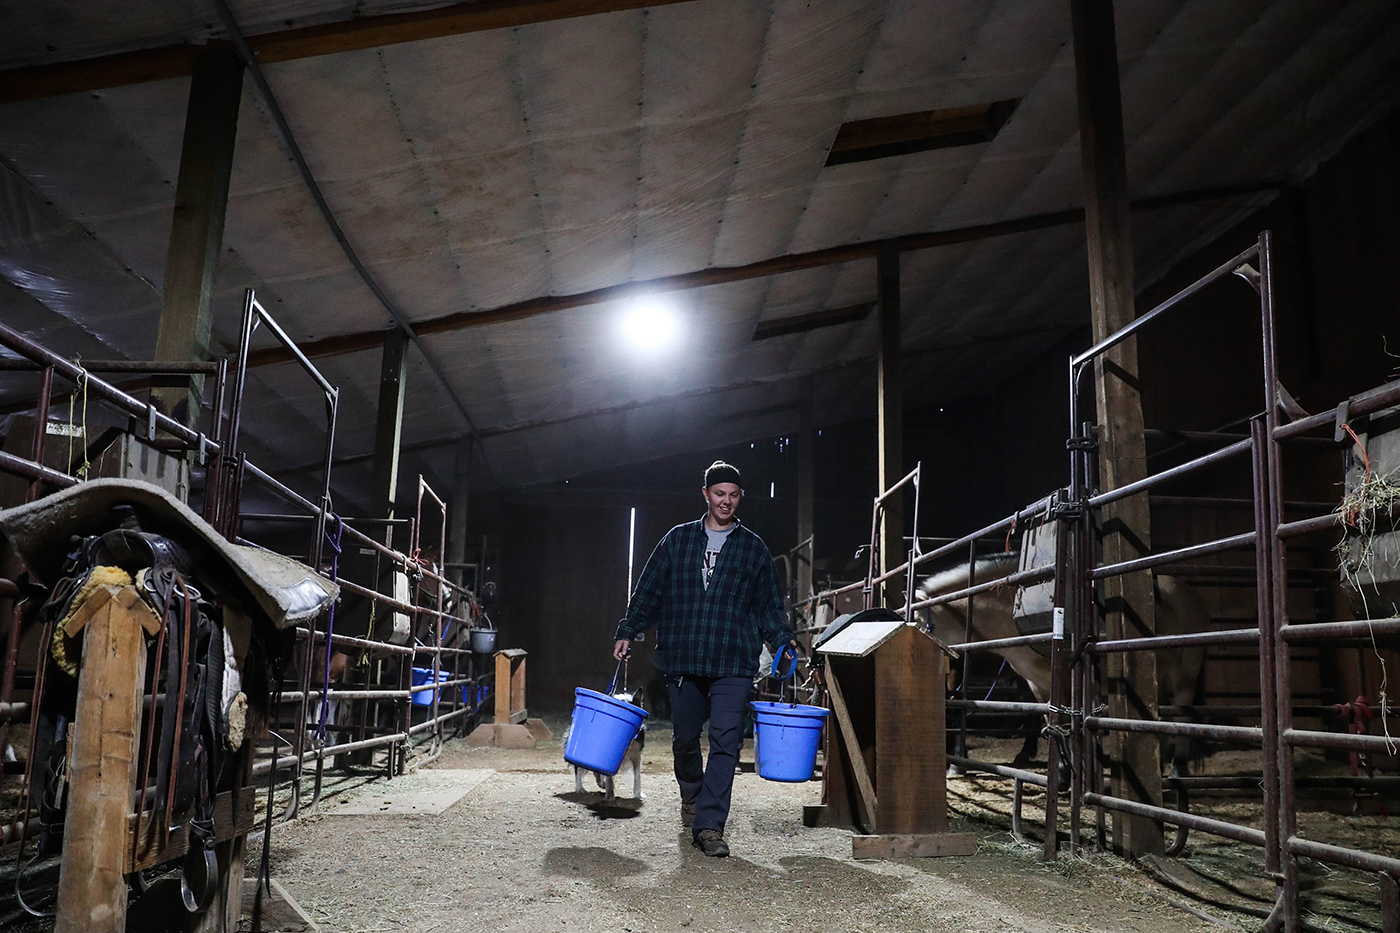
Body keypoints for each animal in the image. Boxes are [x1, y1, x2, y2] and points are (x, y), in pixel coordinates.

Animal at [918, 551, 1215, 778]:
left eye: (920, 625)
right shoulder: (1036, 685)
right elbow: (1052, 722)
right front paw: (1063, 772)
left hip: (1185, 671)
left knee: (1183, 713)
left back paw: (1178, 768)